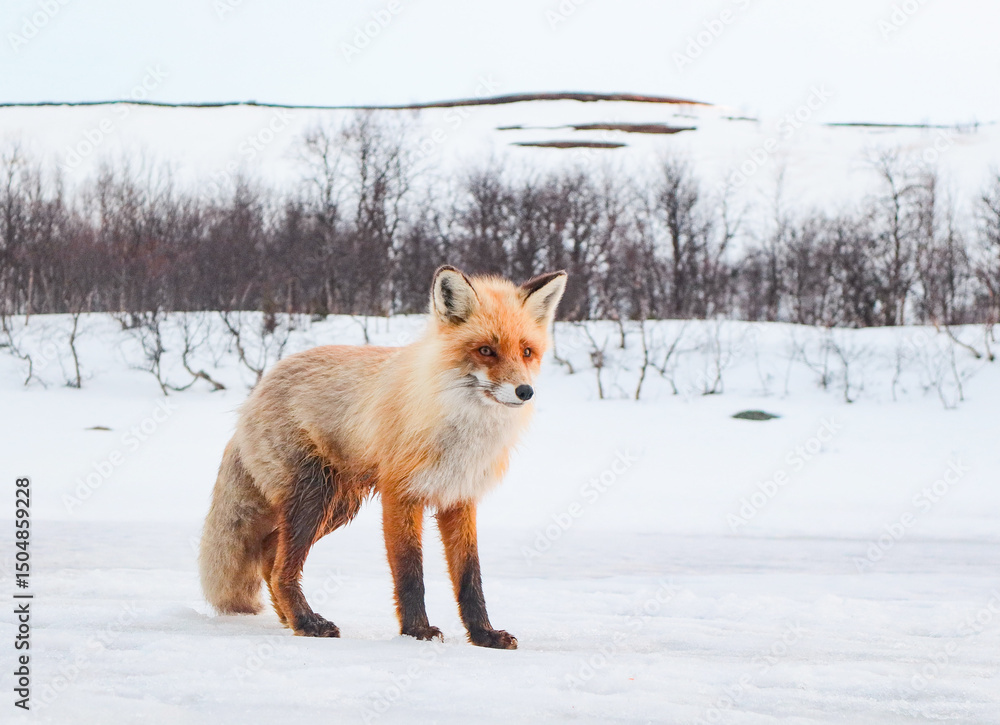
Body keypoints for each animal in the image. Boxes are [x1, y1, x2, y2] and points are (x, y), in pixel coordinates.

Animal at [199, 265, 567, 649]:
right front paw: (417, 631)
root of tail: (257, 391)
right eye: (485, 350)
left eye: (527, 351)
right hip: (315, 498)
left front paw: (483, 634)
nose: (525, 391)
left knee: (270, 555)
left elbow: (470, 577)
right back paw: (307, 622)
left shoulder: (459, 498)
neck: (459, 431)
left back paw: (291, 617)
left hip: (339, 505)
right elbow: (409, 572)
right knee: (280, 566)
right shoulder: (400, 494)